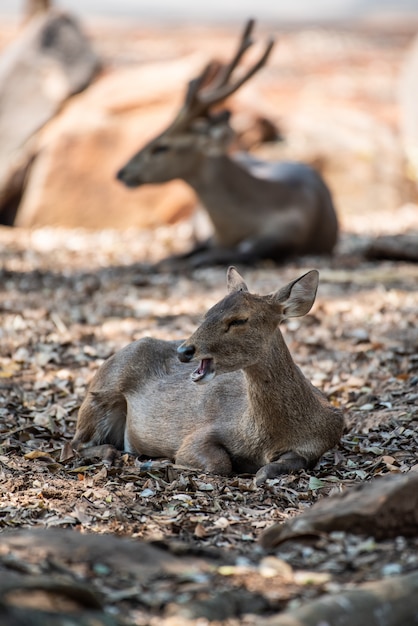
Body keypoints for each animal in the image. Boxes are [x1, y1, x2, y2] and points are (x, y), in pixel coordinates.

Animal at [72, 264, 342, 482]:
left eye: (239, 320)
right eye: (207, 313)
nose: (184, 350)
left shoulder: (321, 442)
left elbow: (281, 466)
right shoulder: (203, 433)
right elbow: (218, 463)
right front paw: (159, 463)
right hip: (100, 397)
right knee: (73, 444)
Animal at [116, 18, 338, 268]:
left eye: (162, 147)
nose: (121, 172)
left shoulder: (286, 237)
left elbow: (233, 254)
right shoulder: (209, 236)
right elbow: (189, 253)